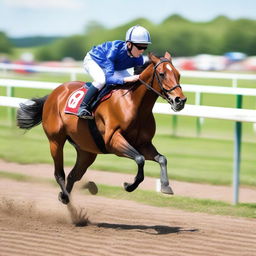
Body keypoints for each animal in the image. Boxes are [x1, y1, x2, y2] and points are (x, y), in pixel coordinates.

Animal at [17, 51, 187, 204]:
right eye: (162, 74)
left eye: (178, 74)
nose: (180, 100)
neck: (134, 104)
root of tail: (53, 93)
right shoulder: (113, 141)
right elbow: (140, 159)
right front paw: (129, 185)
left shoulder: (143, 144)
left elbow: (162, 159)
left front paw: (165, 186)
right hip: (55, 141)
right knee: (59, 173)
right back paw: (68, 199)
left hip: (87, 150)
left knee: (73, 175)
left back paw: (67, 197)